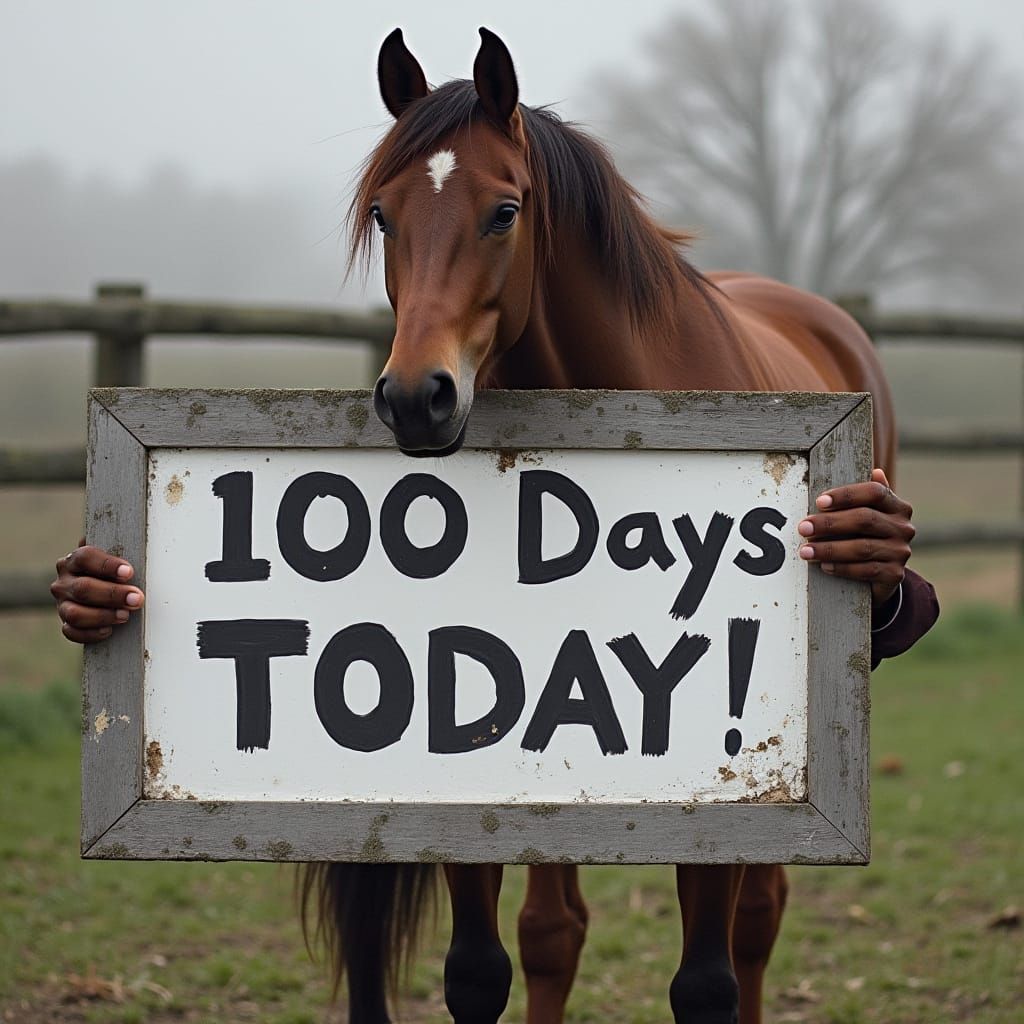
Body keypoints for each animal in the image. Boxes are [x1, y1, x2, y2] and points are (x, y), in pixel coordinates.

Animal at [300, 27, 896, 1024]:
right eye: (384, 215)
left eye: (504, 212)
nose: (417, 397)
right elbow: (487, 966)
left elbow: (706, 980)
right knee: (559, 929)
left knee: (758, 921)